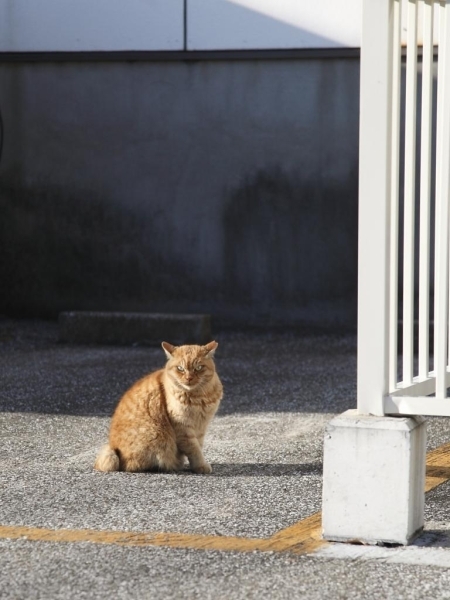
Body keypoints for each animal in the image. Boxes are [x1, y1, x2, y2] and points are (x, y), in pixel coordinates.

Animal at [94, 342, 222, 474]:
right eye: (180, 368)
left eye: (199, 368)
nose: (189, 378)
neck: (198, 397)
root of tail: (114, 448)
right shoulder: (183, 428)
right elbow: (194, 450)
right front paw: (200, 466)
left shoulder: (201, 428)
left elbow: (198, 447)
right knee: (132, 465)